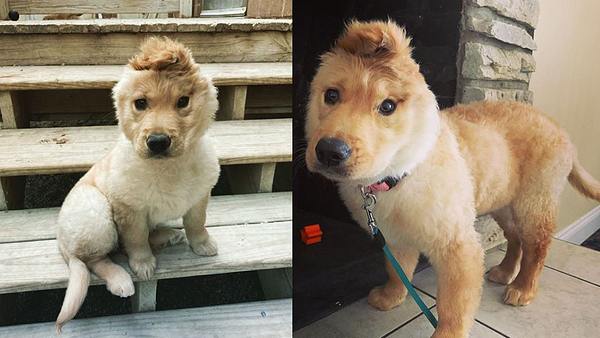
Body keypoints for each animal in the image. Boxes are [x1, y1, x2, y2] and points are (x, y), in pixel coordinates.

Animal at [55, 36, 220, 330]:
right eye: (140, 103)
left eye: (183, 101)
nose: (158, 141)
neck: (167, 166)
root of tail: (63, 247)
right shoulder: (129, 209)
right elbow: (136, 239)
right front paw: (143, 265)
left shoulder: (199, 197)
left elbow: (196, 223)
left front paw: (202, 245)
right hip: (94, 213)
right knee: (96, 259)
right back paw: (121, 279)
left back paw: (169, 235)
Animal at [304, 21, 600, 338]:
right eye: (331, 95)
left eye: (387, 107)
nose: (329, 151)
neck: (399, 173)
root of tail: (560, 130)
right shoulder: (394, 237)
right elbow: (396, 270)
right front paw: (391, 297)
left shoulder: (458, 247)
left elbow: (453, 306)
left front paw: (446, 332)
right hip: (503, 202)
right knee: (515, 238)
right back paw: (504, 272)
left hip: (534, 203)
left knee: (537, 247)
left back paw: (523, 288)